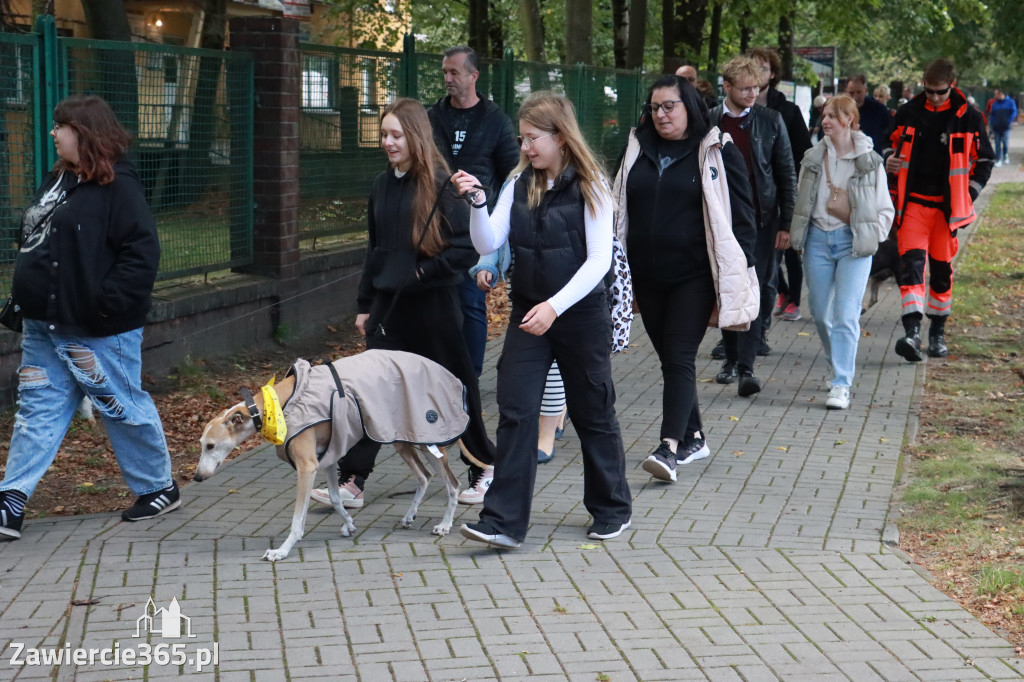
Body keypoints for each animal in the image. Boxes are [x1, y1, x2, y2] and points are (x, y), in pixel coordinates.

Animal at [193, 348, 468, 561]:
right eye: (201, 444)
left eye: (211, 446)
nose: (196, 477)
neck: (277, 405)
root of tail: (446, 373)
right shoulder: (328, 458)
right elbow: (336, 499)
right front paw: (349, 523)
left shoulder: (307, 467)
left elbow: (298, 520)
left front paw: (281, 551)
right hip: (401, 437)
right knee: (424, 476)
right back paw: (410, 516)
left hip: (429, 439)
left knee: (453, 484)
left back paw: (445, 525)